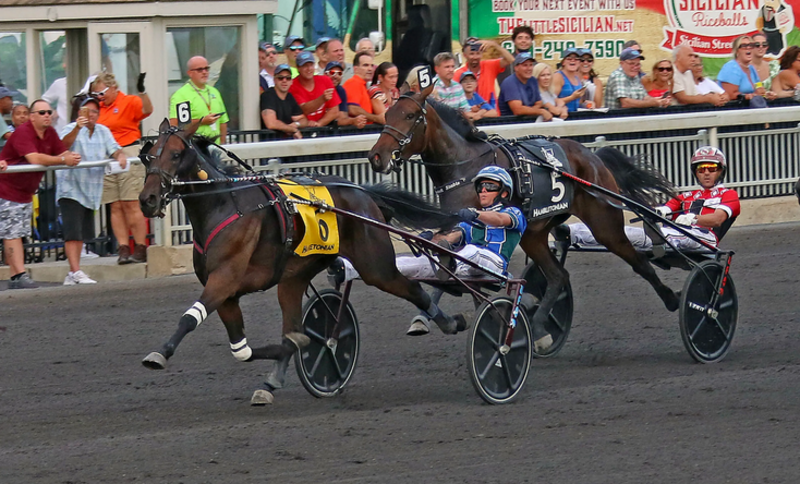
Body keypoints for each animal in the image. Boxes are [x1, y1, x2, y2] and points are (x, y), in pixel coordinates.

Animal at [138, 119, 462, 402]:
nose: (147, 199)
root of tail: (364, 193)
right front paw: (297, 346)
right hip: (294, 277)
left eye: (176, 154)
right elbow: (242, 349)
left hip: (376, 266)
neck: (224, 205)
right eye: (150, 155)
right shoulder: (226, 293)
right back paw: (272, 382)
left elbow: (190, 318)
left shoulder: (224, 279)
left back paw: (447, 321)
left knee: (412, 288)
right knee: (292, 318)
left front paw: (159, 354)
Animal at [368, 85, 676, 354]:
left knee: (637, 261)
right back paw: (539, 325)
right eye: (387, 114)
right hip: (534, 234)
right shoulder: (455, 226)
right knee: (558, 274)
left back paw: (672, 298)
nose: (376, 157)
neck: (466, 166)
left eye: (410, 115)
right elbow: (446, 265)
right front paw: (424, 317)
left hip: (604, 222)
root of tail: (592, 156)